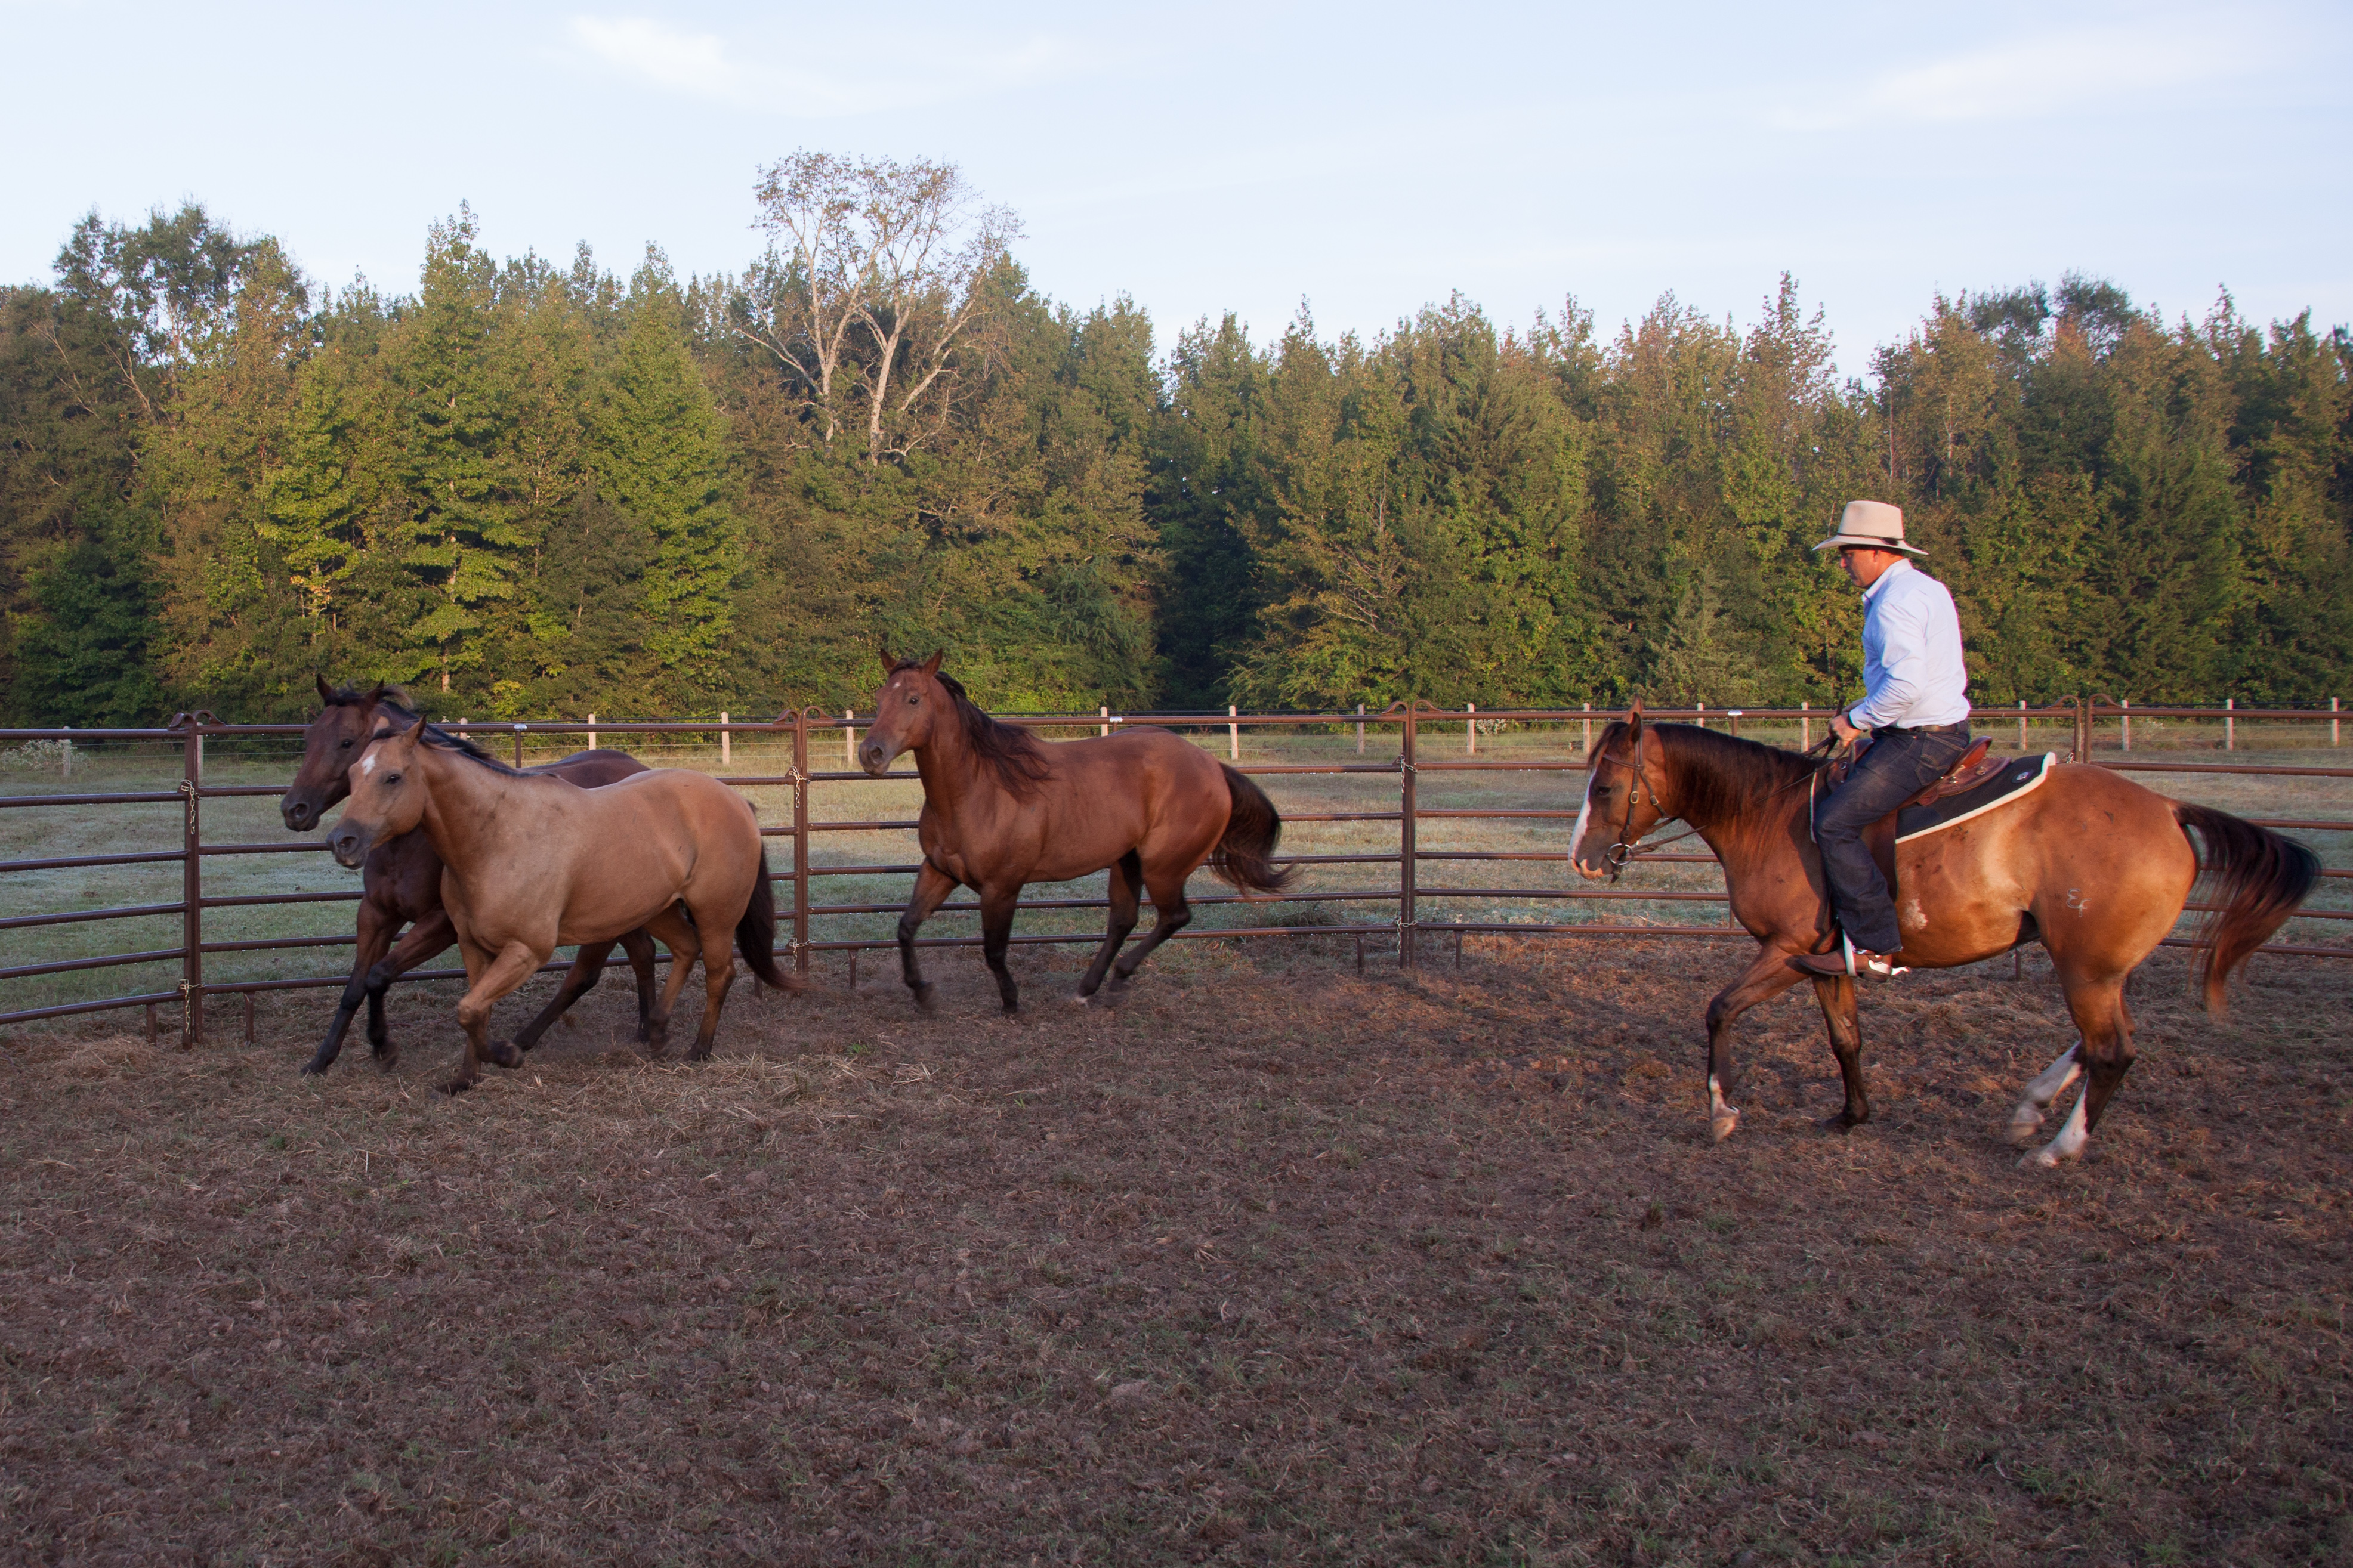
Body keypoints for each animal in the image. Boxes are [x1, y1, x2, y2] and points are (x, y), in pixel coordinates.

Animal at [278, 677, 659, 1076]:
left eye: (347, 741)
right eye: (309, 737)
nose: (295, 809)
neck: (409, 844)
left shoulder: (443, 923)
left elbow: (379, 975)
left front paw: (383, 1046)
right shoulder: (376, 914)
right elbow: (355, 986)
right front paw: (321, 1059)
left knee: (586, 973)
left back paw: (528, 1039)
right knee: (642, 953)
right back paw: (644, 1028)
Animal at [326, 719, 797, 1093]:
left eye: (392, 777)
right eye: (351, 774)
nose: (341, 841)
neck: (498, 838)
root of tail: (739, 802)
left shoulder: (527, 951)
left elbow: (469, 1010)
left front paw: (508, 1054)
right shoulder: (473, 946)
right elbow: (475, 1013)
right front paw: (464, 1080)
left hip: (716, 915)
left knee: (720, 973)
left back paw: (698, 1049)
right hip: (658, 909)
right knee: (684, 949)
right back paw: (658, 1032)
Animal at [857, 651, 1294, 1014]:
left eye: (914, 699)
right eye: (879, 699)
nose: (870, 754)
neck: (977, 790)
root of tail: (1213, 767)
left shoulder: (1002, 887)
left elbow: (994, 950)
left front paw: (1011, 1001)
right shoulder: (940, 871)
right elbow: (906, 927)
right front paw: (923, 993)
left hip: (1163, 869)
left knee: (1174, 917)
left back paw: (1117, 980)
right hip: (1128, 862)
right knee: (1123, 921)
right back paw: (1088, 988)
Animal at [1568, 705, 2317, 1167]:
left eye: (1604, 788)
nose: (1581, 859)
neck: (1772, 816)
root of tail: (2166, 807)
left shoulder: (1785, 951)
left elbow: (1719, 1009)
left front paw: (1721, 1110)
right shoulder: (1826, 963)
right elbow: (1845, 1039)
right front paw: (1851, 1115)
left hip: (2085, 967)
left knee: (2112, 1051)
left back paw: (2055, 1147)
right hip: (2097, 965)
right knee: (2100, 1041)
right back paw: (2030, 1108)